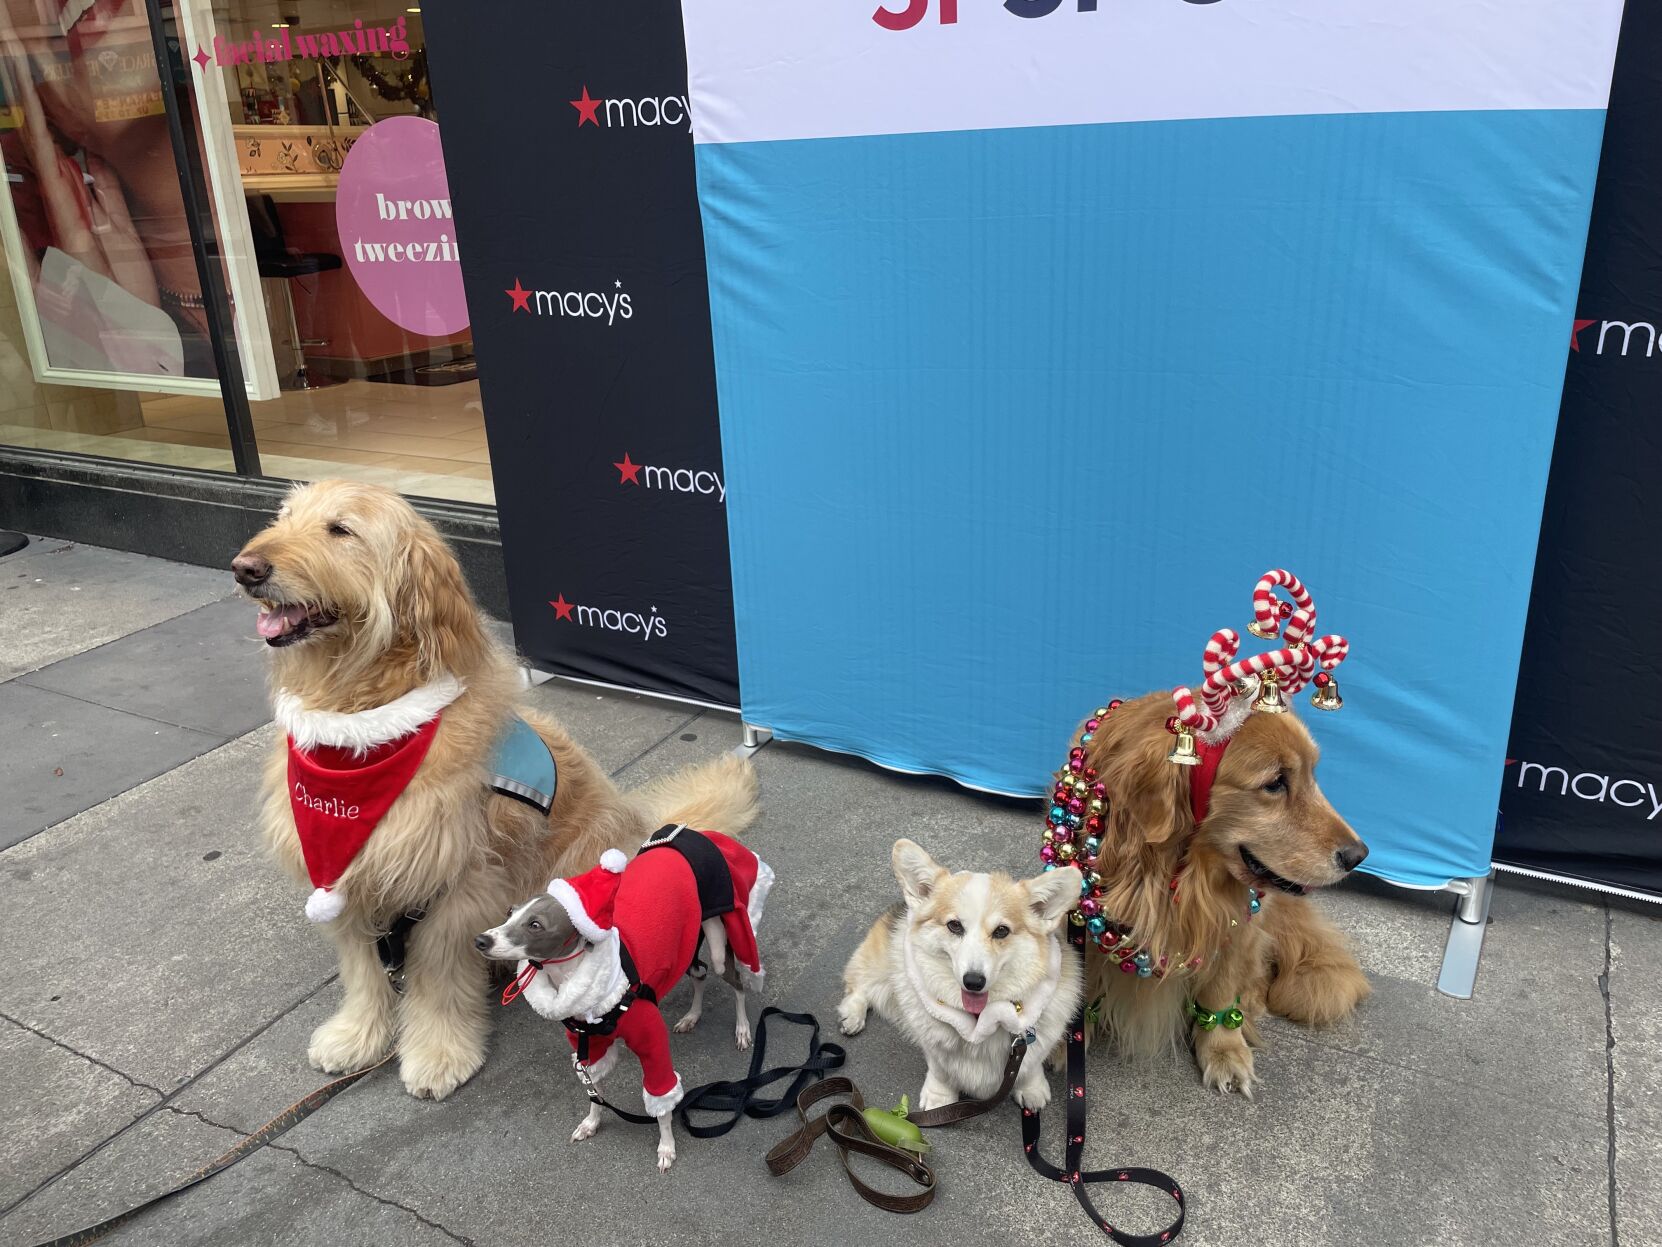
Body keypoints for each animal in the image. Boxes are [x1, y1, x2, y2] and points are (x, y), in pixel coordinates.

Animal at [229, 482, 761, 1104]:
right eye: (283, 517)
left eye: (340, 530)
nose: (245, 569)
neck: (364, 727)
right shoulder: (348, 875)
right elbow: (365, 972)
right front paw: (357, 1035)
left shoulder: (456, 887)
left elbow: (436, 980)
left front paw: (438, 1054)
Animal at [837, 844, 1083, 1117]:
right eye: (954, 926)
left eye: (1001, 931)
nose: (973, 981)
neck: (979, 1022)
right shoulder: (934, 1047)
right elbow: (940, 1072)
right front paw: (940, 1098)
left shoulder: (1029, 1045)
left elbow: (1030, 1067)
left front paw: (1032, 1089)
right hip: (882, 965)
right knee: (859, 983)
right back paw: (852, 1016)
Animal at [1076, 694, 1362, 1104]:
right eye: (1275, 782)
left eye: (1313, 775)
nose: (1359, 856)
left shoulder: (1239, 925)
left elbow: (1221, 990)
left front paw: (1223, 1049)